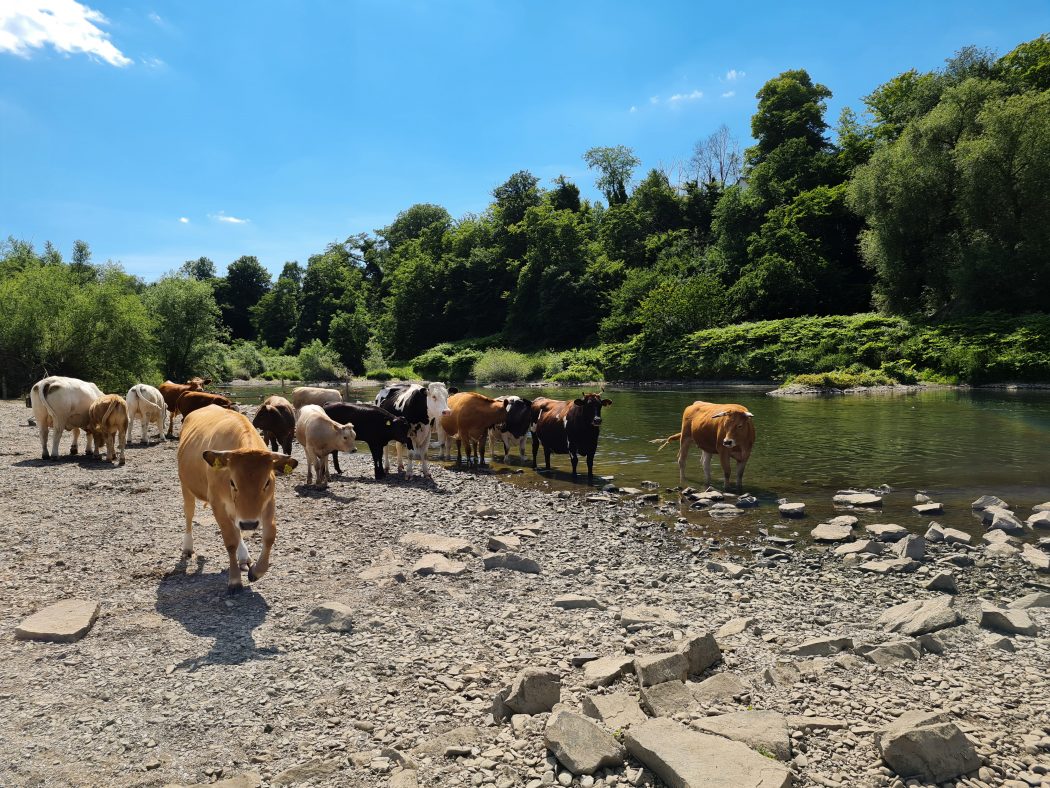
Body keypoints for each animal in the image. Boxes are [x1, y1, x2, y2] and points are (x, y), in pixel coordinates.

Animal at [176, 407, 298, 592]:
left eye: (267, 482)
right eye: (232, 482)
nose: (249, 524)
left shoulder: (268, 501)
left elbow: (270, 535)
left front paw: (257, 571)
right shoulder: (218, 504)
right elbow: (230, 541)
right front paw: (234, 580)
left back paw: (243, 557)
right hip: (186, 485)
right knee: (189, 514)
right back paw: (188, 547)